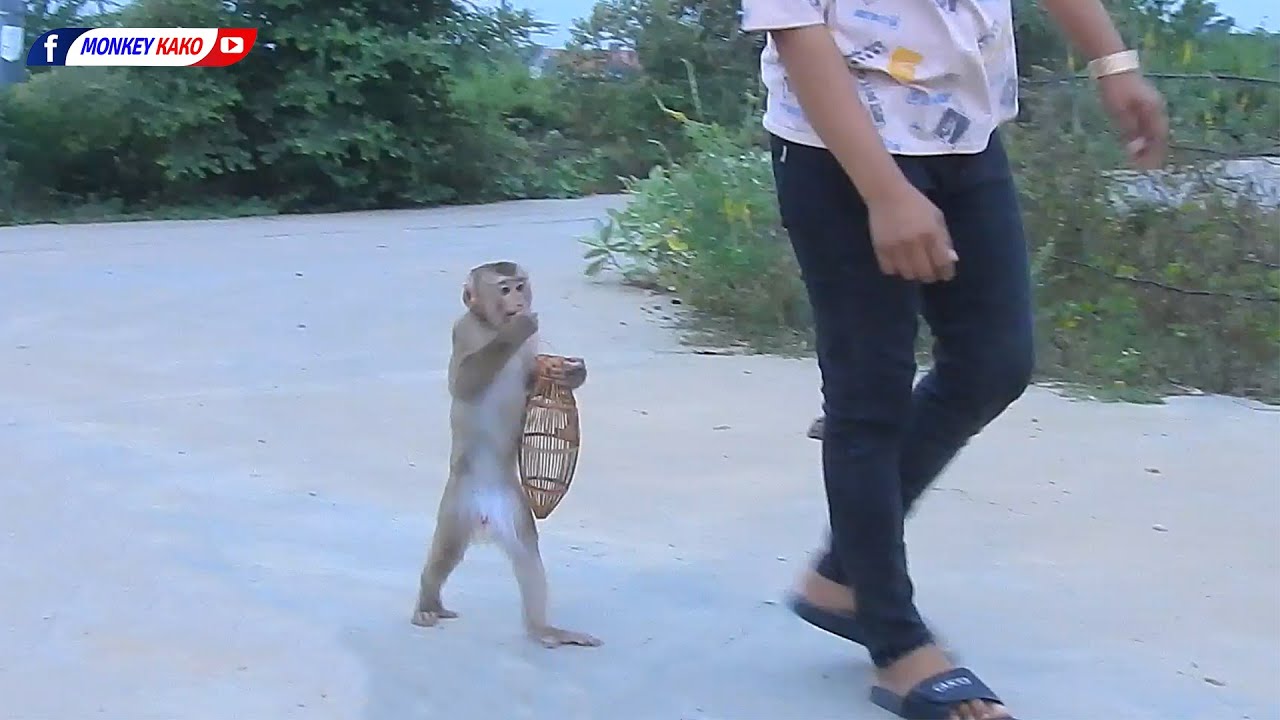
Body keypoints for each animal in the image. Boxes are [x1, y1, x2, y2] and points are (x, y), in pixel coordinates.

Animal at [411, 260, 601, 649]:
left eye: (519, 285)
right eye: (504, 289)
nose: (519, 300)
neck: (489, 325)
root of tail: (485, 517)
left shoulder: (530, 351)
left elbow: (534, 380)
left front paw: (571, 372)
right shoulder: (463, 329)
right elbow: (463, 382)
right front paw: (515, 330)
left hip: (514, 509)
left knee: (527, 555)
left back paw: (544, 630)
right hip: (457, 505)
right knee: (444, 552)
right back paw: (427, 602)